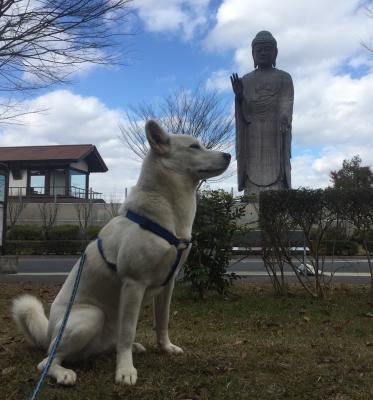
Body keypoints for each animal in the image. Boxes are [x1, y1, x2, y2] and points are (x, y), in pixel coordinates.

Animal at [11, 119, 230, 388]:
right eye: (194, 146)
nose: (229, 155)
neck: (169, 214)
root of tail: (49, 333)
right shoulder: (133, 283)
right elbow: (127, 332)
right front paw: (125, 370)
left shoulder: (167, 285)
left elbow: (163, 321)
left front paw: (166, 347)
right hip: (90, 316)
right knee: (47, 361)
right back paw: (63, 373)